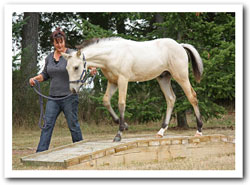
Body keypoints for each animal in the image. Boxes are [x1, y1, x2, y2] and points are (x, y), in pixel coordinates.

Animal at [61, 37, 204, 142]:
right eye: (67, 68)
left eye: (76, 67)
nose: (72, 89)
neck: (112, 54)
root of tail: (180, 45)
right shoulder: (113, 82)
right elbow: (106, 101)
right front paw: (124, 124)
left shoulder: (123, 80)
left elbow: (121, 104)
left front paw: (119, 134)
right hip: (163, 78)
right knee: (170, 99)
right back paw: (161, 132)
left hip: (181, 77)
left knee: (192, 97)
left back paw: (199, 131)